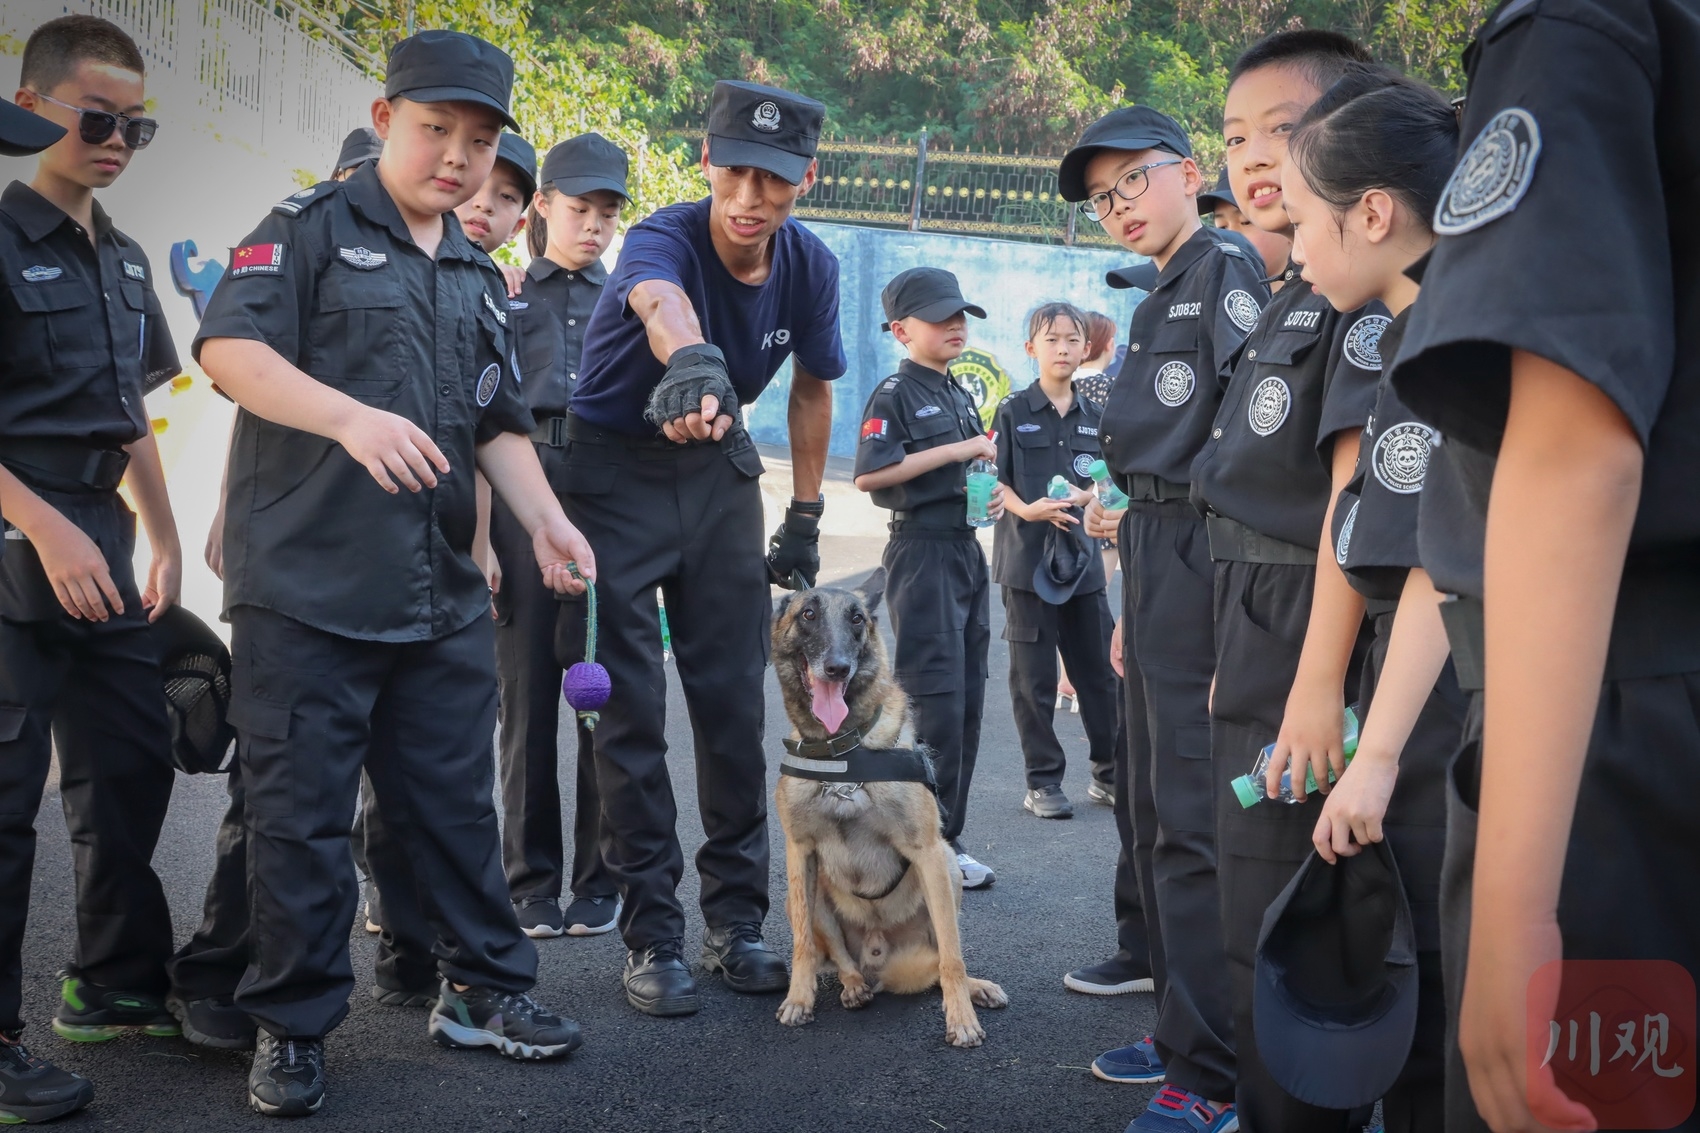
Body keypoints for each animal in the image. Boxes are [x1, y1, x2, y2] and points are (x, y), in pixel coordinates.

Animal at [768, 568, 999, 1047]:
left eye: (857, 619)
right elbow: (803, 942)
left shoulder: (928, 852)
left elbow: (952, 955)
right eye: (808, 614)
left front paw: (961, 1018)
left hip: (946, 869)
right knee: (839, 957)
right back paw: (854, 984)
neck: (842, 751)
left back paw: (974, 988)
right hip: (802, 892)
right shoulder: (799, 852)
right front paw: (799, 998)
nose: (837, 667)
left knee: (942, 953)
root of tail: (880, 964)